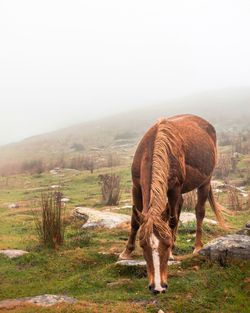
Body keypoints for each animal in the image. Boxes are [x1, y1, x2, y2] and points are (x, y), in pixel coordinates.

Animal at [118, 114, 226, 292]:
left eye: (166, 245)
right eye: (143, 245)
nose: (158, 286)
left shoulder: (175, 188)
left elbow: (173, 220)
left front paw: (171, 251)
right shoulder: (136, 187)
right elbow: (135, 221)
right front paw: (126, 252)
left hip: (205, 182)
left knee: (199, 212)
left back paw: (197, 246)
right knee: (180, 206)